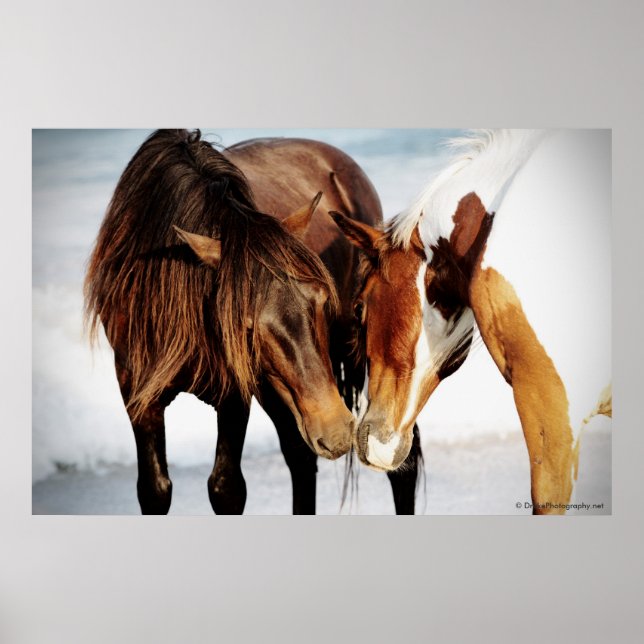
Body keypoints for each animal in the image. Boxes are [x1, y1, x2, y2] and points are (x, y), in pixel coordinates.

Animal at [84, 129, 355, 514]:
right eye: (245, 325)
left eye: (320, 299)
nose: (337, 431)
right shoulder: (136, 391)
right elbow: (155, 488)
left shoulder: (235, 393)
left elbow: (226, 487)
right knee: (300, 456)